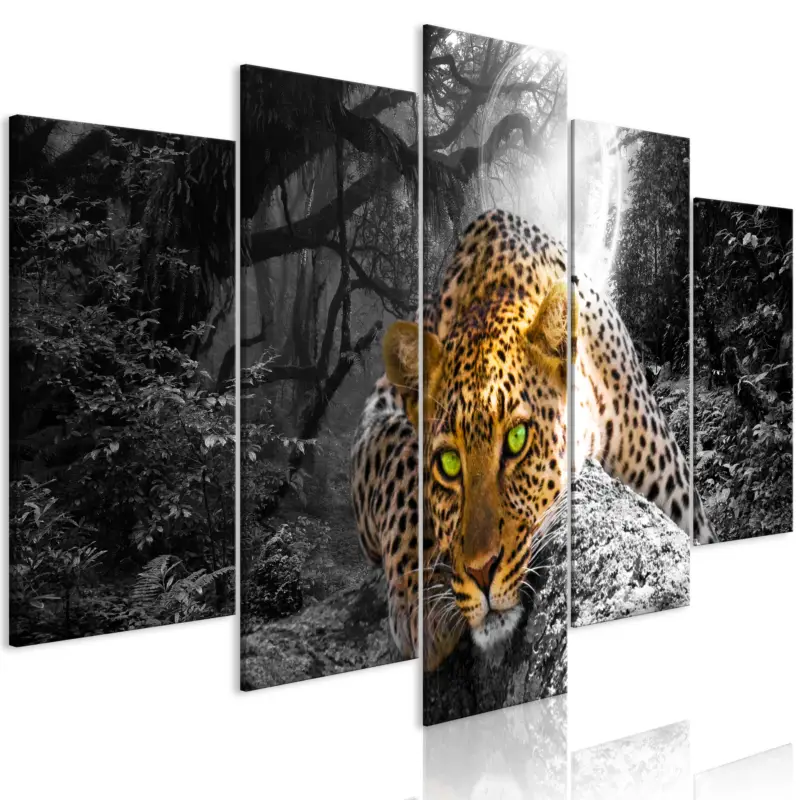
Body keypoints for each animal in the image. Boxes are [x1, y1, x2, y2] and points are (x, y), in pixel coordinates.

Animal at [352, 209, 714, 670]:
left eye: (517, 438)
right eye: (448, 463)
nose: (480, 570)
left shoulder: (684, 508)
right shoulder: (377, 411)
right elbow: (396, 455)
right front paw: (422, 598)